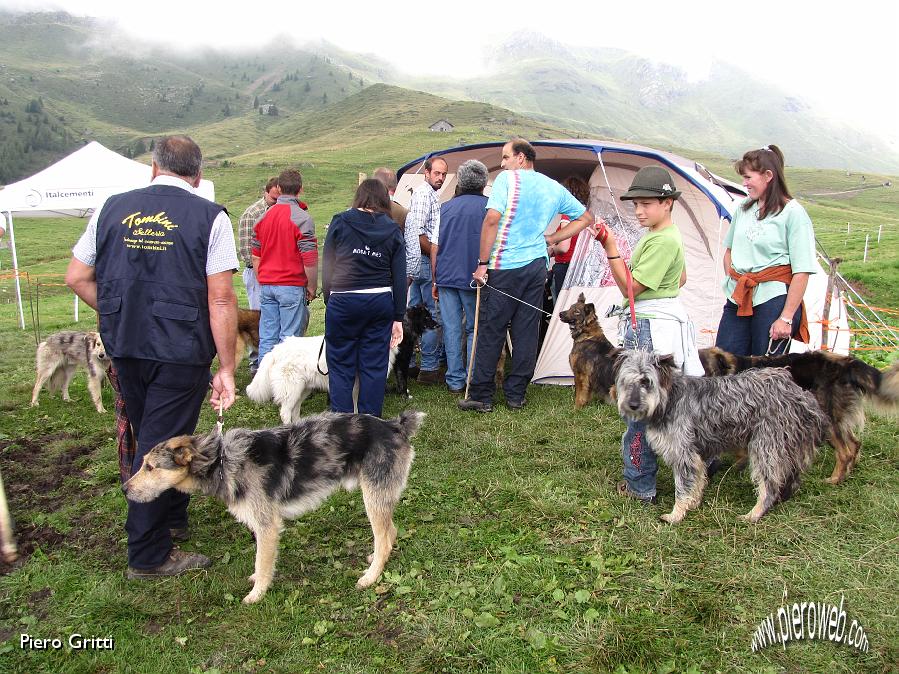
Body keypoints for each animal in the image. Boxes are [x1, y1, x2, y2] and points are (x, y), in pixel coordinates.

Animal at [120, 410, 426, 604]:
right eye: (143, 464)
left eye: (150, 467)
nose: (124, 489)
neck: (222, 461)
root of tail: (395, 425)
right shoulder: (259, 526)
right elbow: (260, 560)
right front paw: (257, 580)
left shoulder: (268, 525)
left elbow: (263, 561)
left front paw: (257, 594)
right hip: (379, 497)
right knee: (389, 532)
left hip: (373, 496)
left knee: (384, 538)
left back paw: (371, 576)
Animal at [616, 350, 832, 524]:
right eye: (627, 382)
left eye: (646, 382)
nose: (633, 405)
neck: (668, 399)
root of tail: (799, 393)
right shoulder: (696, 455)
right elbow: (697, 482)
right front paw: (693, 504)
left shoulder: (684, 455)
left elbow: (682, 488)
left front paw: (676, 514)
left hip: (765, 446)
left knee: (769, 485)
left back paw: (754, 513)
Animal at [704, 346, 899, 484]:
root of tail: (846, 363)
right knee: (854, 444)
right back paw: (848, 473)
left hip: (827, 421)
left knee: (845, 452)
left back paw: (834, 480)